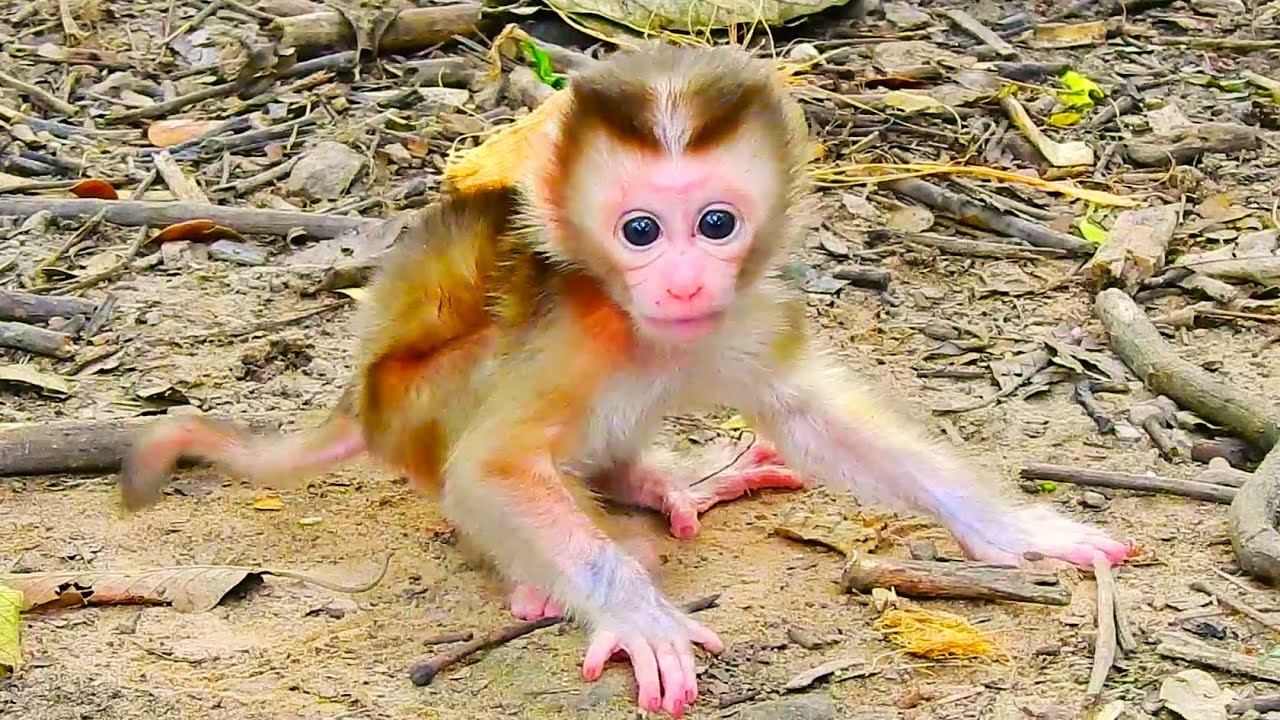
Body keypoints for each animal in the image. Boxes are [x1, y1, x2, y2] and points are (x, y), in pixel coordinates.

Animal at [118, 43, 1132, 717]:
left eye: (716, 223)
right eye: (641, 230)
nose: (682, 282)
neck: (640, 323)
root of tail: (360, 396)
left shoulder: (744, 309)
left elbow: (815, 416)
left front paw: (1018, 528)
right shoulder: (576, 333)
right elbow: (491, 469)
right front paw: (641, 616)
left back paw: (662, 483)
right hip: (417, 402)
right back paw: (551, 568)